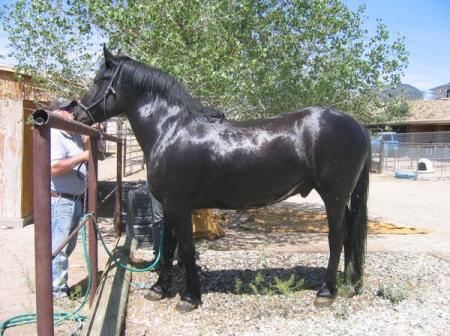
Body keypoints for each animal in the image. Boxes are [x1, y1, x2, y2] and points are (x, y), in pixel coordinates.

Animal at [73, 47, 370, 312]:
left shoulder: (180, 204)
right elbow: (168, 245)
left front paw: (190, 298)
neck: (170, 129)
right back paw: (348, 283)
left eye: (101, 79)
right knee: (348, 236)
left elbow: (187, 247)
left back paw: (326, 293)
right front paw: (159, 289)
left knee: (337, 237)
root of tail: (357, 125)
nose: (77, 113)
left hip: (333, 196)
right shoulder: (168, 204)